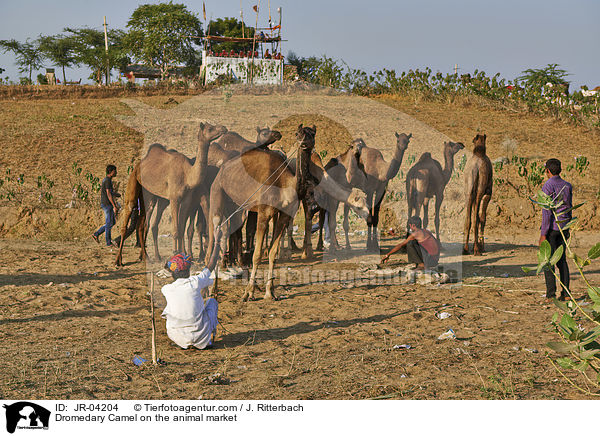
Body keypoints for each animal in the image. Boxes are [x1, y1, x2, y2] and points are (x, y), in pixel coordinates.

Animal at [113, 122, 226, 266]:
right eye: (210, 128)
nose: (224, 128)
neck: (188, 174)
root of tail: (140, 164)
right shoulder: (174, 198)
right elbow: (176, 230)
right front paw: (175, 254)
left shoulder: (187, 200)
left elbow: (182, 228)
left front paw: (184, 255)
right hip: (133, 183)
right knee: (130, 215)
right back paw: (119, 260)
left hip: (149, 196)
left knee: (144, 224)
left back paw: (147, 257)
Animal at [204, 122, 368, 300]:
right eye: (298, 133)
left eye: (312, 134)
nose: (304, 144)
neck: (286, 184)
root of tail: (221, 170)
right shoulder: (263, 213)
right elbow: (257, 255)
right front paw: (249, 292)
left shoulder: (283, 214)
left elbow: (272, 253)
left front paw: (269, 292)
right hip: (217, 194)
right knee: (215, 234)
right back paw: (211, 290)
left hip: (236, 207)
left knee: (226, 232)